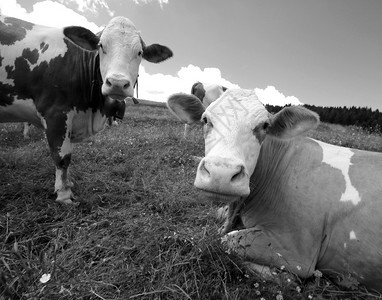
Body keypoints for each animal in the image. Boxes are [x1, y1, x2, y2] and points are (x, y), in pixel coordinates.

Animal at [0, 14, 173, 204]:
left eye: (140, 52)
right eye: (101, 46)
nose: (117, 83)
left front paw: (68, 184)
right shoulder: (55, 113)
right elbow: (62, 157)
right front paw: (64, 195)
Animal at [169, 88, 382, 292]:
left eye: (264, 126)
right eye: (206, 119)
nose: (221, 173)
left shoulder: (295, 249)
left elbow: (226, 241)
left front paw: (283, 277)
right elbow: (220, 219)